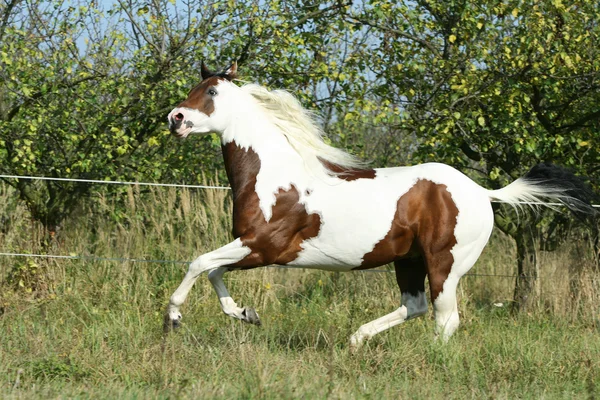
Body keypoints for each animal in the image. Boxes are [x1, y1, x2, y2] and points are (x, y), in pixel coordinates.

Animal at [165, 61, 600, 346]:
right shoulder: (254, 250)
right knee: (416, 306)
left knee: (445, 318)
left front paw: (174, 316)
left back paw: (428, 359)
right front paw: (246, 314)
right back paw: (357, 339)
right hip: (408, 260)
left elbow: (199, 263)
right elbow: (213, 272)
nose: (175, 118)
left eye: (211, 92)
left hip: (445, 264)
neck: (277, 178)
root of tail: (482, 192)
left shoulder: (264, 245)